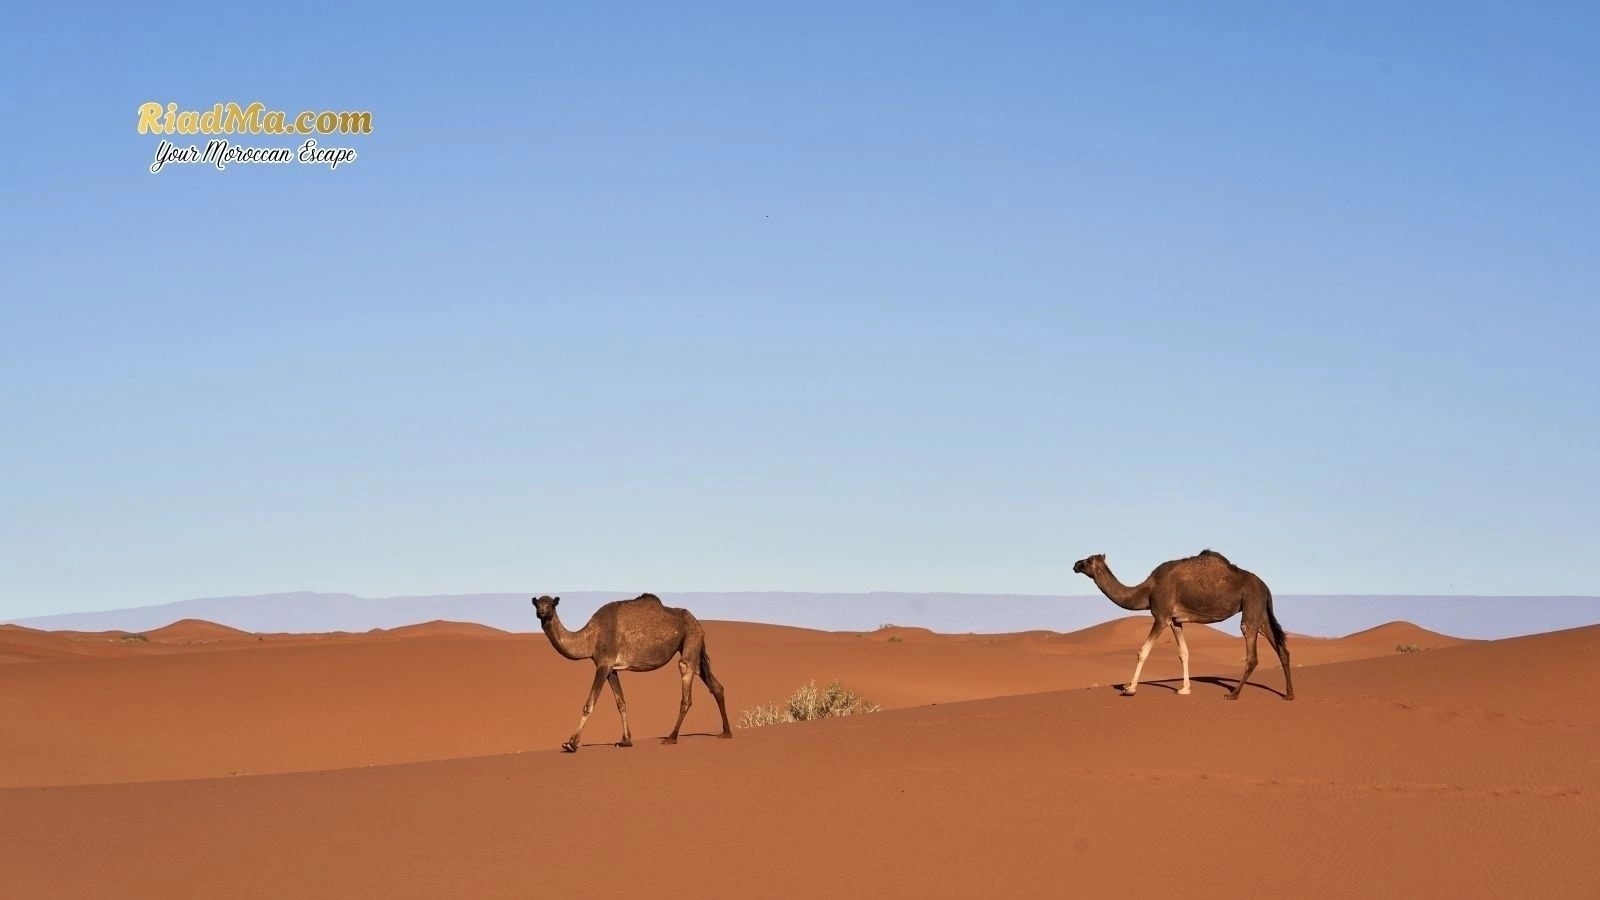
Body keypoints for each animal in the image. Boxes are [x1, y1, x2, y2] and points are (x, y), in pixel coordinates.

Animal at [531, 593, 732, 752]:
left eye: (550, 604)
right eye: (537, 603)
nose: (541, 612)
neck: (590, 638)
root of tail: (697, 623)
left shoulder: (603, 664)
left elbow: (589, 704)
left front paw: (571, 743)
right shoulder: (611, 668)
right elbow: (621, 703)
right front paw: (625, 740)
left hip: (691, 637)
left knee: (686, 677)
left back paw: (671, 737)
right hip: (694, 646)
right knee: (713, 684)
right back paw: (726, 732)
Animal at [1071, 549, 1294, 701]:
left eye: (1089, 560)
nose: (1075, 564)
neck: (1147, 589)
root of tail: (1265, 587)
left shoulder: (1161, 616)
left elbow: (1143, 651)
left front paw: (1129, 689)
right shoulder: (1175, 621)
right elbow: (1184, 653)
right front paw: (1184, 689)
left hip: (1251, 603)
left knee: (1252, 652)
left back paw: (1233, 694)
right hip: (1261, 612)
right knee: (1281, 649)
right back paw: (1289, 694)